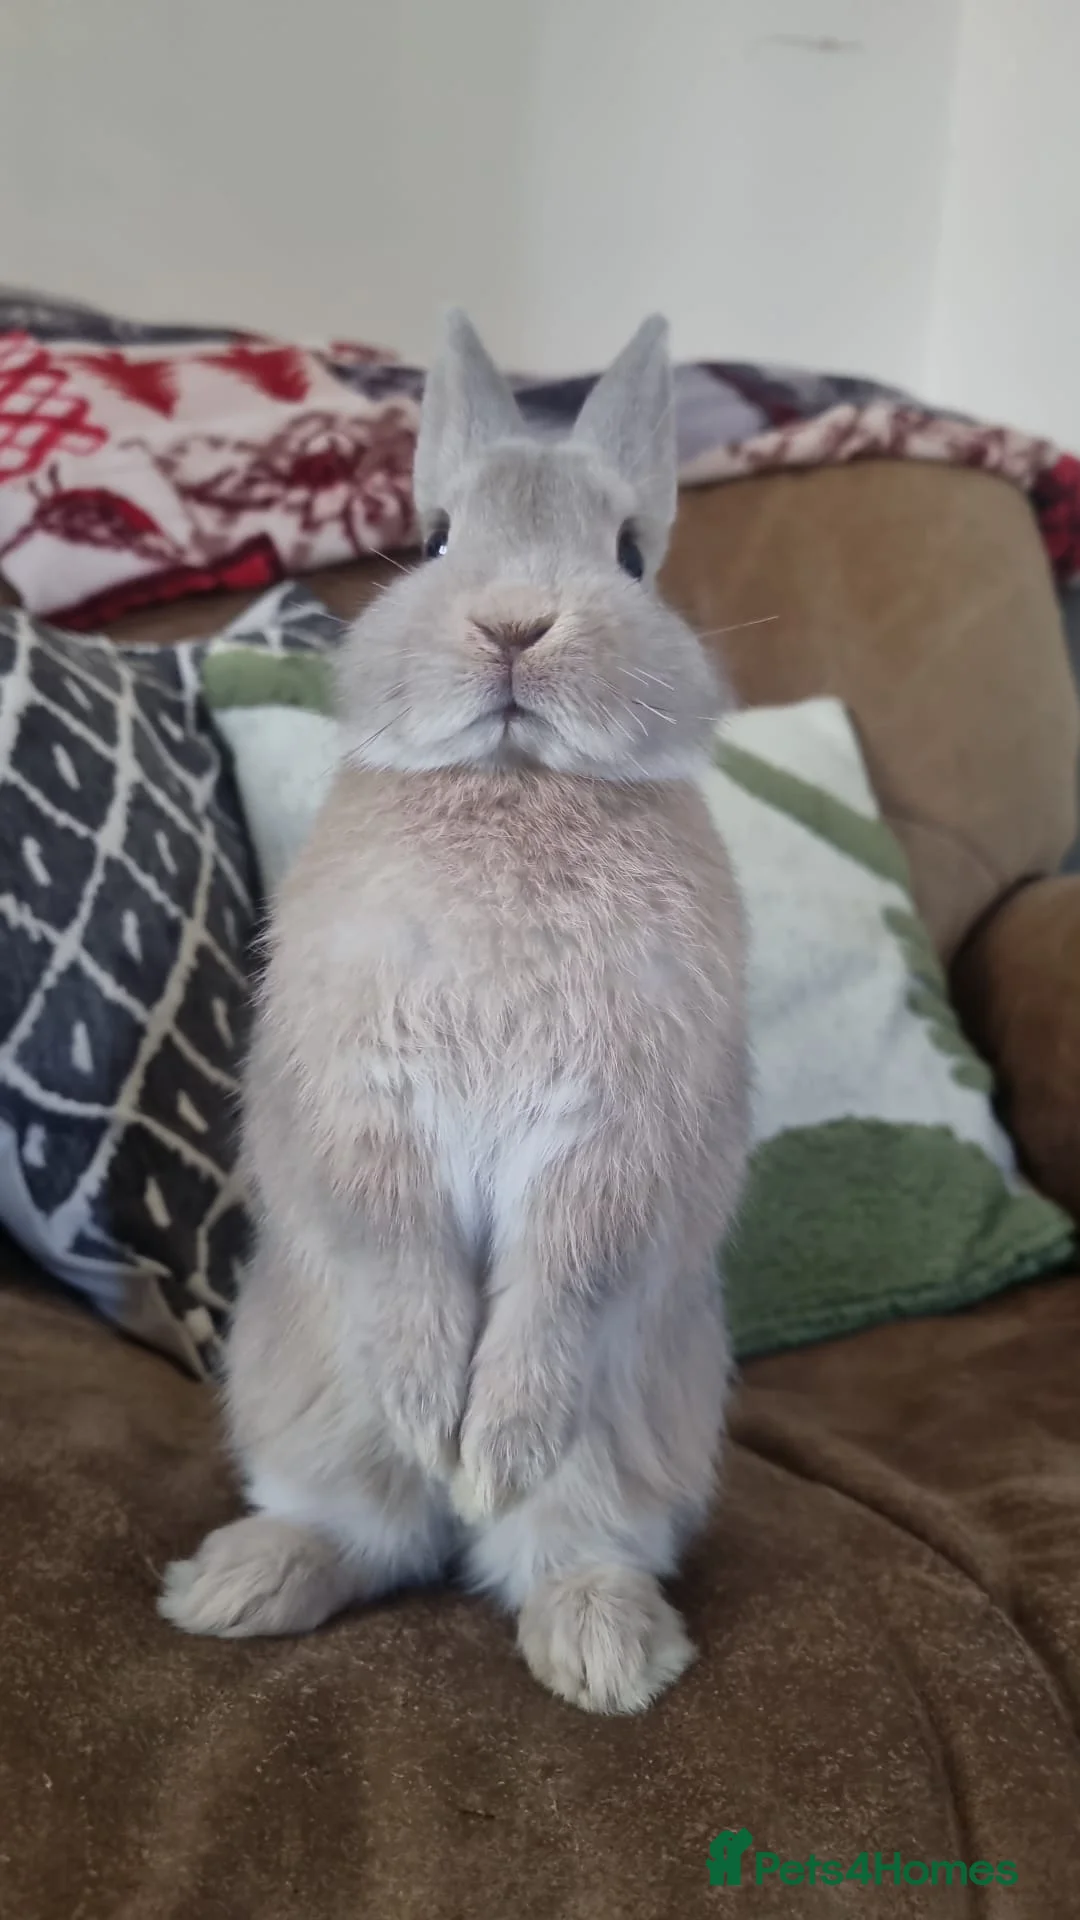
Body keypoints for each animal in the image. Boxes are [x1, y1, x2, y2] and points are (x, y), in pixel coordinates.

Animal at [159, 311, 748, 1714]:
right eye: (433, 538)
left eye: (630, 553)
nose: (514, 623)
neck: (514, 782)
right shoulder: (365, 1105)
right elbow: (394, 1246)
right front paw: (438, 1420)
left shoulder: (616, 1138)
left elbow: (568, 1276)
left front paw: (487, 1445)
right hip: (307, 1395)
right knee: (367, 1529)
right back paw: (243, 1584)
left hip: (632, 1432)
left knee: (554, 1542)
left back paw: (599, 1647)